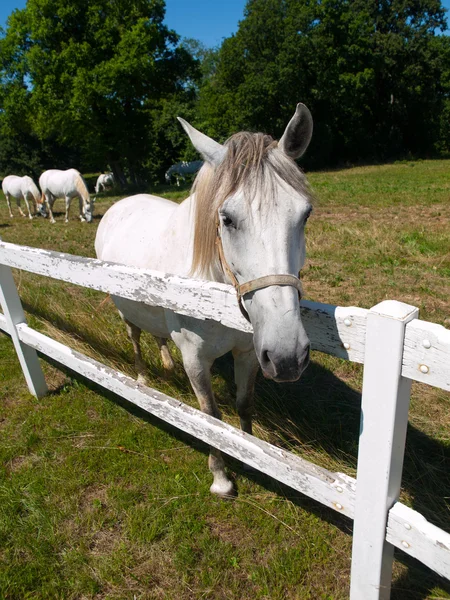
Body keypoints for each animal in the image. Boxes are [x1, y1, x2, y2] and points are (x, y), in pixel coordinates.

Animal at [95, 104, 312, 496]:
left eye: (305, 214)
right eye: (226, 218)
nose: (288, 356)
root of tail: (121, 203)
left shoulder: (249, 353)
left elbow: (244, 404)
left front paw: (249, 456)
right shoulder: (195, 359)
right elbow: (211, 416)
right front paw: (221, 477)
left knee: (157, 334)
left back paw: (165, 362)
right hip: (124, 308)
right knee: (135, 337)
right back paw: (143, 378)